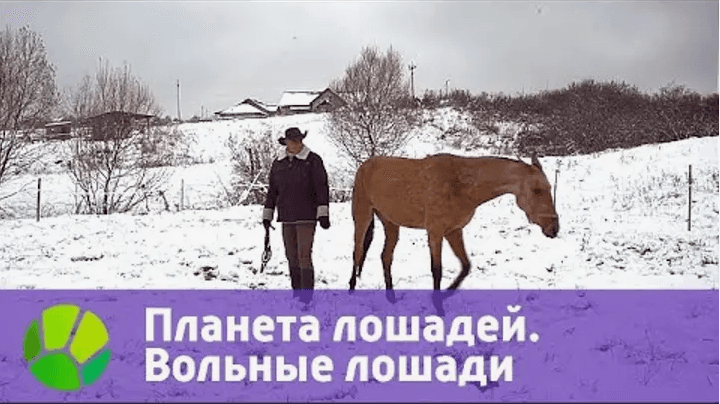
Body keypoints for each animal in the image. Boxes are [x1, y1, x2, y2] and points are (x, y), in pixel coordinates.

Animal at [348, 153, 559, 302]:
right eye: (537, 190)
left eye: (549, 188)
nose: (554, 227)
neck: (460, 184)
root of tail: (364, 166)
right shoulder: (435, 232)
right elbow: (437, 270)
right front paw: (437, 306)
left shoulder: (454, 231)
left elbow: (465, 266)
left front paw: (446, 293)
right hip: (362, 216)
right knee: (357, 252)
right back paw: (351, 288)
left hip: (391, 224)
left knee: (385, 256)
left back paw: (391, 296)